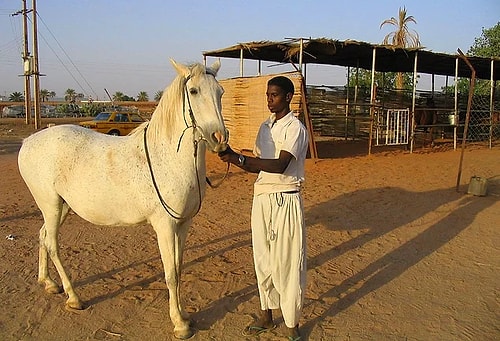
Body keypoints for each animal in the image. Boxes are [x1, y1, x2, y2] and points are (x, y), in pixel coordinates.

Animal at [17, 59, 228, 338]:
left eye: (220, 92)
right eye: (193, 91)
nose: (220, 139)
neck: (168, 158)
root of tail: (28, 141)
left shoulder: (183, 224)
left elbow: (179, 268)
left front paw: (184, 316)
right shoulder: (165, 226)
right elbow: (171, 273)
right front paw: (179, 324)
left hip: (60, 207)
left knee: (42, 236)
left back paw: (48, 283)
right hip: (50, 205)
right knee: (52, 244)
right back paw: (74, 297)